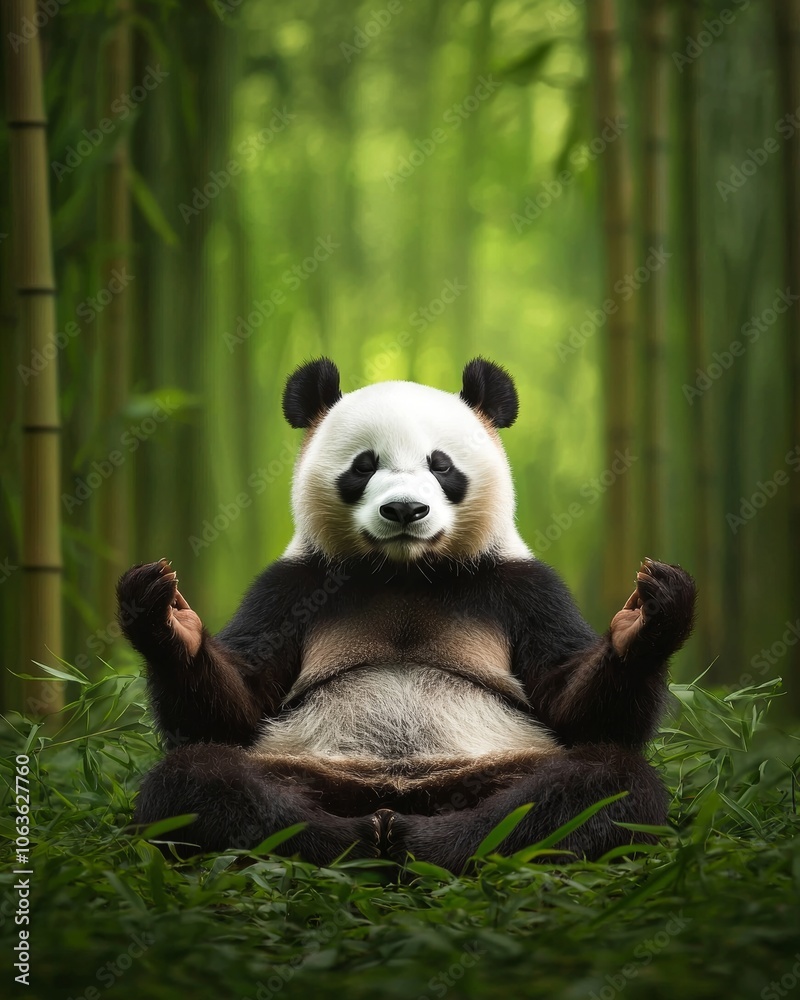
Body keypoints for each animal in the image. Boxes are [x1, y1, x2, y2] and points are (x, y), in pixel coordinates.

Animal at [118, 357, 696, 871]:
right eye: (364, 464)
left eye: (441, 465)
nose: (403, 510)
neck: (404, 572)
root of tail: (402, 793)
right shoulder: (289, 590)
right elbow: (231, 713)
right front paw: (166, 616)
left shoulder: (523, 590)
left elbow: (579, 712)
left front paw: (648, 615)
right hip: (304, 764)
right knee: (197, 782)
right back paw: (353, 839)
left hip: (500, 763)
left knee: (599, 786)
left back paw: (427, 841)